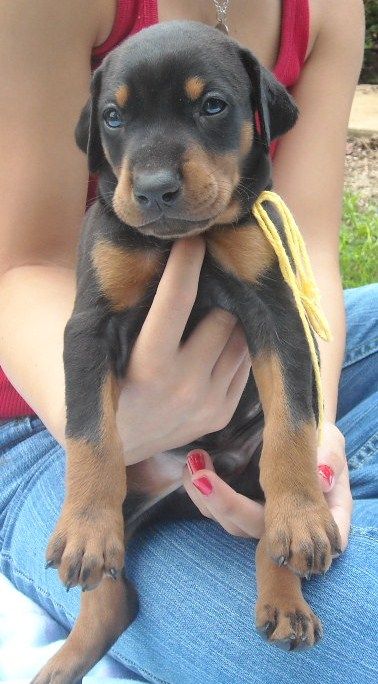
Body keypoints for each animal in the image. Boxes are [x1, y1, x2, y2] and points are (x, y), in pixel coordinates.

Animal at [34, 20, 342, 684]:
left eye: (213, 106)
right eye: (113, 116)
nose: (154, 191)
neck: (187, 242)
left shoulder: (276, 310)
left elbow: (294, 423)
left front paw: (305, 515)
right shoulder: (89, 326)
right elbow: (90, 433)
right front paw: (84, 529)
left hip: (249, 478)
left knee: (267, 538)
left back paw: (286, 599)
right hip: (131, 498)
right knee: (110, 598)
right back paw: (66, 653)